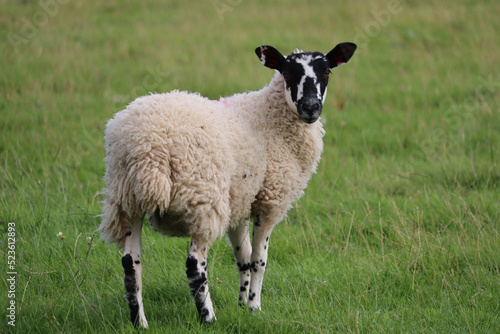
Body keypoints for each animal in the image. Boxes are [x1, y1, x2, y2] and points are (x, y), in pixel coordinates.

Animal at [97, 42, 356, 328]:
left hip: (125, 198)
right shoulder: (269, 201)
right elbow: (259, 260)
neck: (269, 115)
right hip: (202, 199)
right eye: (287, 73)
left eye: (327, 72)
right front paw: (254, 306)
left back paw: (140, 323)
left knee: (131, 263)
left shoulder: (240, 201)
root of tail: (147, 146)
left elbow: (243, 257)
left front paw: (242, 304)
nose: (311, 108)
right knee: (195, 265)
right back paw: (208, 318)